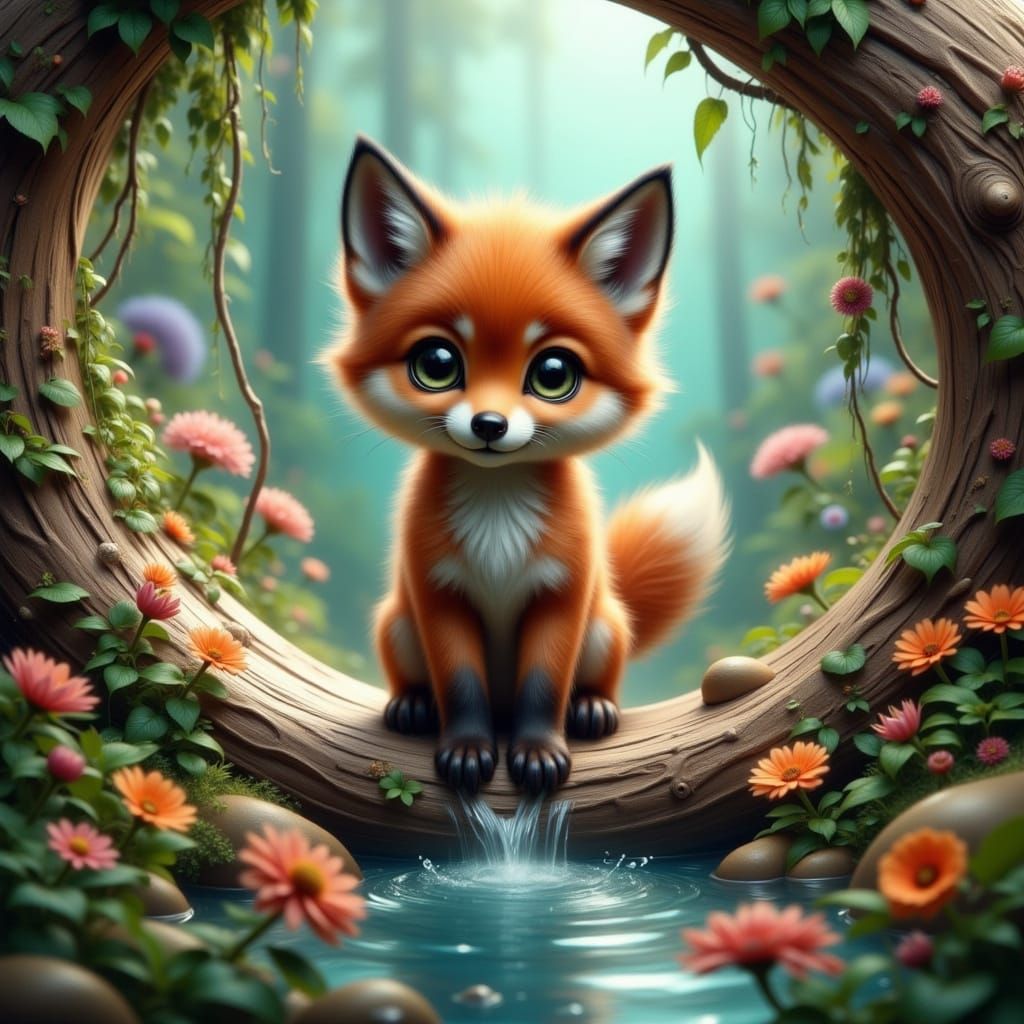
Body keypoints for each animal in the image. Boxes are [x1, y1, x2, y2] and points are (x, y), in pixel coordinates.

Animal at [328, 136, 730, 797]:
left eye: (553, 374)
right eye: (437, 363)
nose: (489, 426)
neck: (498, 524)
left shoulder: (562, 593)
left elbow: (543, 687)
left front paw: (539, 752)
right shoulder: (438, 593)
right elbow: (460, 683)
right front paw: (467, 750)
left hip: (603, 629)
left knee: (590, 680)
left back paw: (592, 707)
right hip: (397, 626)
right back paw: (412, 704)